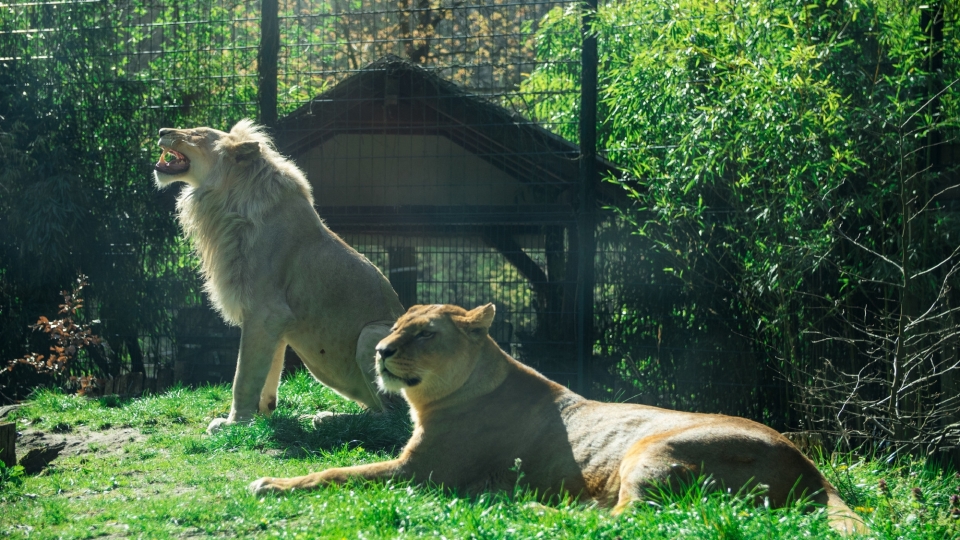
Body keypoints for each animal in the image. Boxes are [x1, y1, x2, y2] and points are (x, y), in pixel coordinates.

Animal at [153, 120, 404, 432]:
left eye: (197, 133)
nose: (161, 131)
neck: (225, 201)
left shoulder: (265, 311)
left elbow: (243, 376)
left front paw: (234, 423)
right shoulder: (273, 321)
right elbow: (267, 371)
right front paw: (262, 416)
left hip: (371, 336)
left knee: (392, 418)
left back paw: (329, 421)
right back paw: (324, 417)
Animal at [251, 304, 868, 536]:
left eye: (424, 333)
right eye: (399, 324)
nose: (381, 351)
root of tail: (812, 469)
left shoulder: (421, 474)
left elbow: (335, 473)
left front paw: (271, 483)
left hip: (653, 449)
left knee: (626, 521)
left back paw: (525, 505)